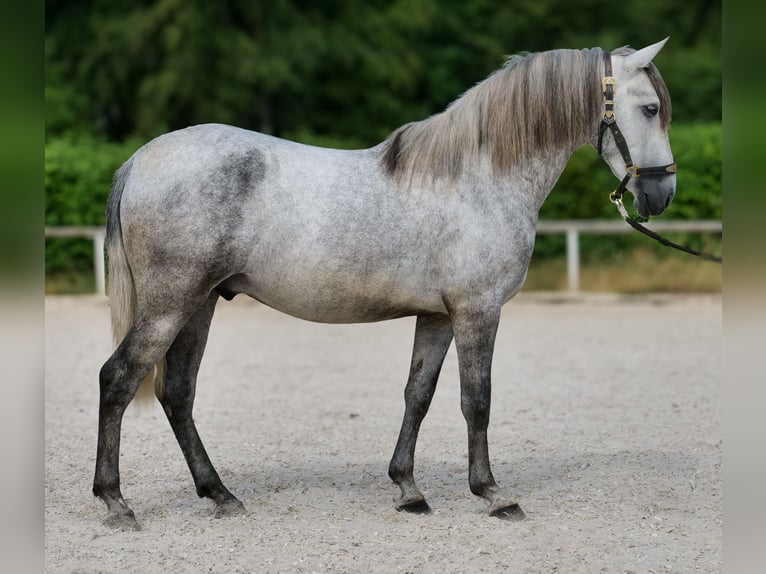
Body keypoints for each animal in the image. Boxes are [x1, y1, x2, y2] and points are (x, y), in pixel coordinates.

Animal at [94, 39, 676, 530]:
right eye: (650, 108)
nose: (661, 194)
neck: (480, 177)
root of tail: (139, 160)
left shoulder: (438, 315)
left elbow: (418, 395)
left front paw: (408, 490)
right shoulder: (477, 311)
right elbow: (477, 400)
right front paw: (492, 494)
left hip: (200, 304)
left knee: (178, 393)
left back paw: (220, 495)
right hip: (171, 303)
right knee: (118, 379)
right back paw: (116, 503)